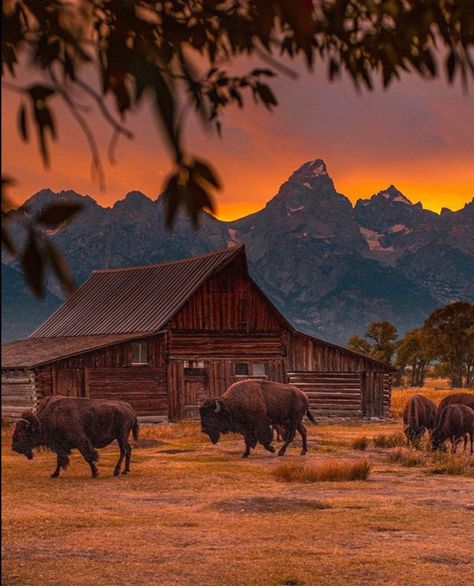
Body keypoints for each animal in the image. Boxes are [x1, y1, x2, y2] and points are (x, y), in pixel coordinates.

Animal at [11, 394, 139, 476]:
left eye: (22, 434)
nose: (14, 447)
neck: (54, 416)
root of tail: (130, 409)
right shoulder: (59, 445)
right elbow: (59, 459)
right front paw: (54, 474)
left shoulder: (81, 441)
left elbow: (88, 456)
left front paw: (95, 473)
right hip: (122, 437)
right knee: (128, 449)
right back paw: (126, 471)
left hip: (121, 436)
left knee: (123, 451)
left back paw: (116, 471)